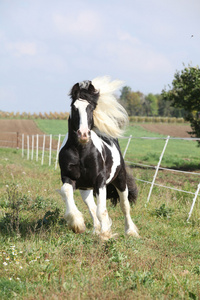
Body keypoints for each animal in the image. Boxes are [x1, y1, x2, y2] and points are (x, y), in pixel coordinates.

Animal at [57, 77, 139, 239]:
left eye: (91, 108)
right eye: (74, 108)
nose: (83, 134)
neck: (81, 152)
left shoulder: (99, 181)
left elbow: (103, 210)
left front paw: (105, 234)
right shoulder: (68, 177)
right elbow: (66, 191)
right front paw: (77, 224)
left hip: (120, 180)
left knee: (124, 206)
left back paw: (130, 231)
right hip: (85, 188)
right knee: (92, 207)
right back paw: (95, 230)